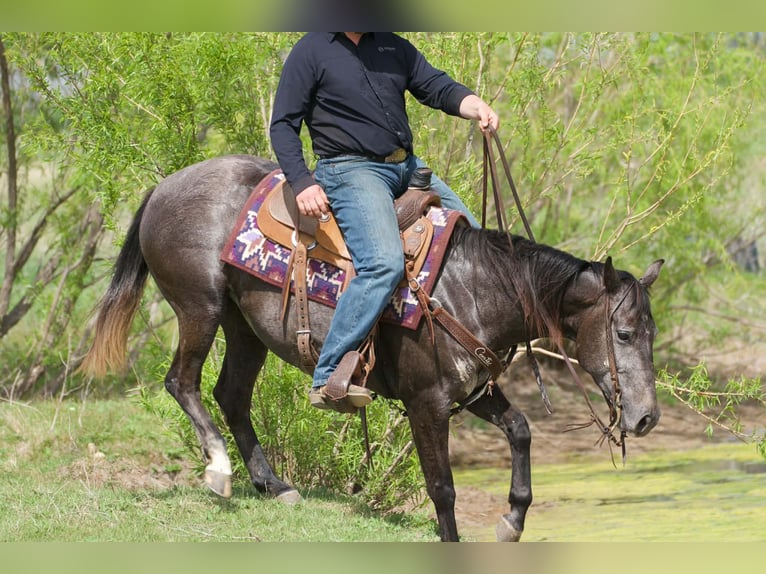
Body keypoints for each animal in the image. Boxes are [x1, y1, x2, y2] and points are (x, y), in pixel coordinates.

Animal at [81, 154, 664, 542]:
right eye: (624, 333)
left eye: (651, 334)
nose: (646, 418)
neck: (472, 288)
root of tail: (164, 186)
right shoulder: (427, 402)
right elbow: (442, 487)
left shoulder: (471, 391)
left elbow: (520, 430)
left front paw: (513, 519)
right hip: (198, 308)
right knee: (182, 382)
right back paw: (221, 471)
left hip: (243, 328)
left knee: (232, 395)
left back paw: (274, 484)